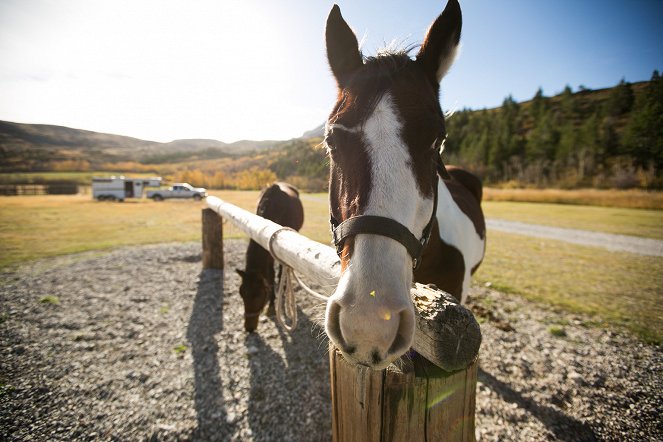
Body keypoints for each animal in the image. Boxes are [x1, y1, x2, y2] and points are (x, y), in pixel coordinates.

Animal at [236, 182, 304, 332]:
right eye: (241, 293)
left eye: (258, 295)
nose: (249, 328)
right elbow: (269, 275)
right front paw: (271, 302)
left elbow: (274, 274)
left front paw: (272, 305)